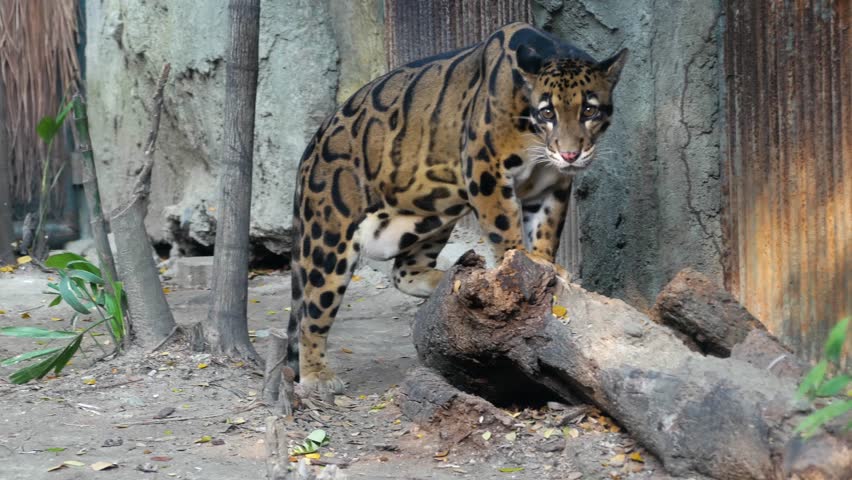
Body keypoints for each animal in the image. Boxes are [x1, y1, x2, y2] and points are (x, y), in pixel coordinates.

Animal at [287, 22, 627, 395]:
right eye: (548, 113)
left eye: (590, 111)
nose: (570, 153)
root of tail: (309, 152)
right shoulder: (486, 170)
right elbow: (506, 228)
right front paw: (518, 265)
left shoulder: (553, 184)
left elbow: (547, 229)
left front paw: (544, 263)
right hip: (328, 240)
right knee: (311, 311)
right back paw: (317, 375)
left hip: (429, 218)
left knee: (403, 272)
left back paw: (450, 277)